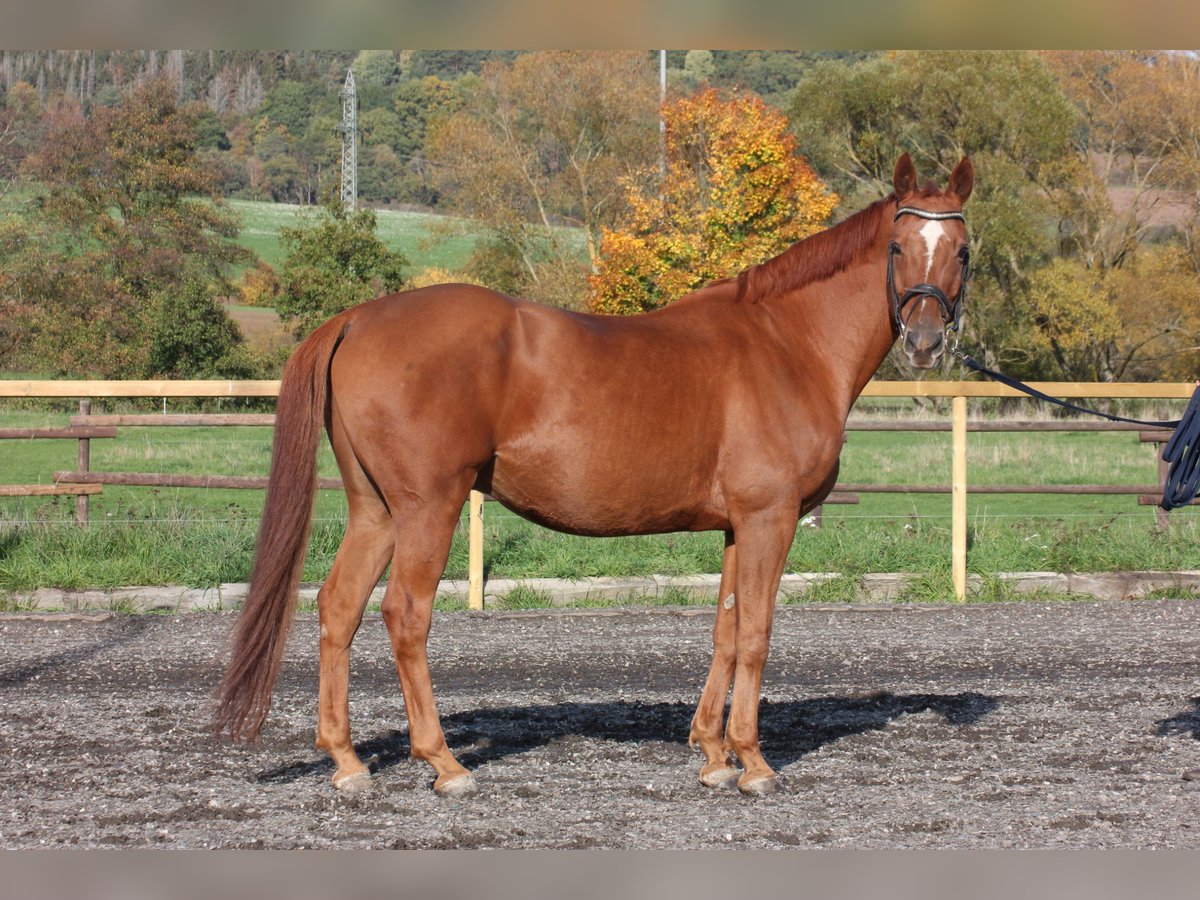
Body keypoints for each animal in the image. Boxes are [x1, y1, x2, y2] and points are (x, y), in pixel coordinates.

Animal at [214, 152, 973, 797]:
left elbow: (726, 631)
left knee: (338, 607)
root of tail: (356, 318)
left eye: (961, 250)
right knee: (405, 615)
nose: (925, 340)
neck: (786, 343)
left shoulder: (737, 525)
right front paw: (754, 762)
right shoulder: (770, 517)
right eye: (899, 247)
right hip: (428, 507)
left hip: (375, 510)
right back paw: (444, 764)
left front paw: (713, 753)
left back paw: (346, 763)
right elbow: (757, 633)